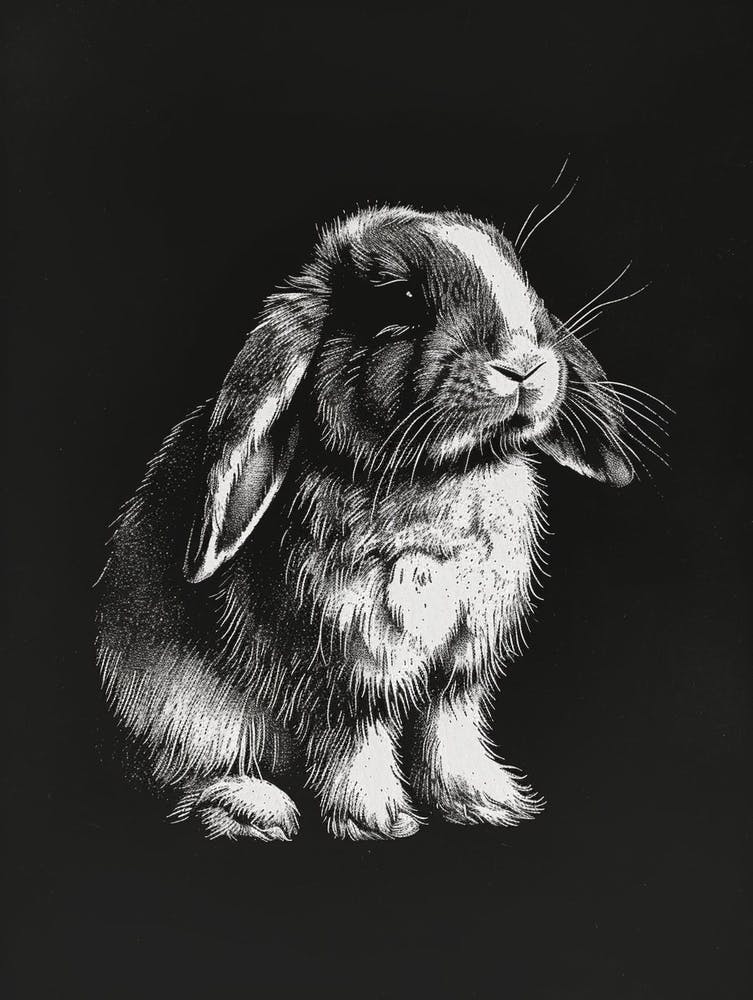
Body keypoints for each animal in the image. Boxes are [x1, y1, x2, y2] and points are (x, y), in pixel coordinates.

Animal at [96, 205, 644, 842]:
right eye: (401, 301)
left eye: (522, 281)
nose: (524, 365)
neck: (436, 475)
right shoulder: (351, 662)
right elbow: (359, 736)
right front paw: (379, 820)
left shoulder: (460, 664)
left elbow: (449, 729)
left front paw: (487, 803)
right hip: (185, 718)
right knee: (175, 779)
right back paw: (251, 809)